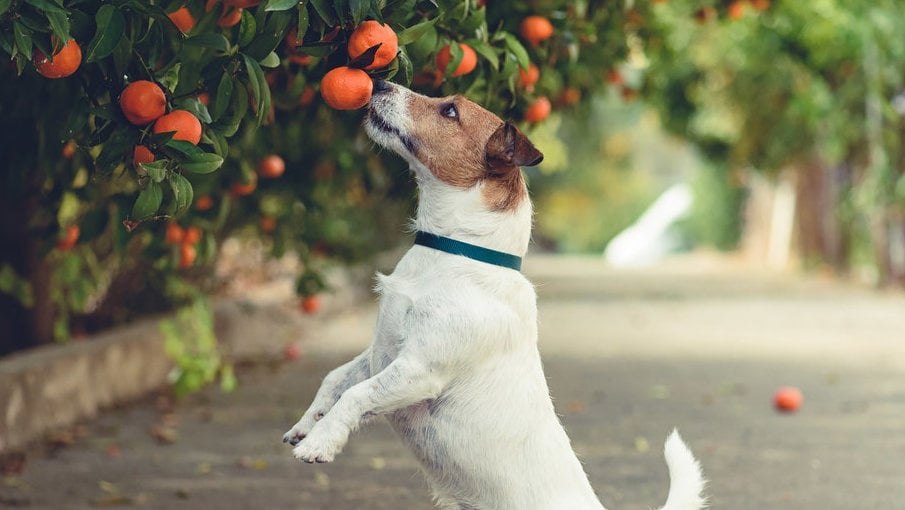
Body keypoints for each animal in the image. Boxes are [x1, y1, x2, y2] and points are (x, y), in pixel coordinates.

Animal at [282, 80, 708, 510]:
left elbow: (355, 395)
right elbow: (336, 379)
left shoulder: (419, 369)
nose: (381, 82)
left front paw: (320, 443)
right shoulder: (378, 354)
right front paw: (307, 424)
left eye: (450, 111)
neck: (455, 251)